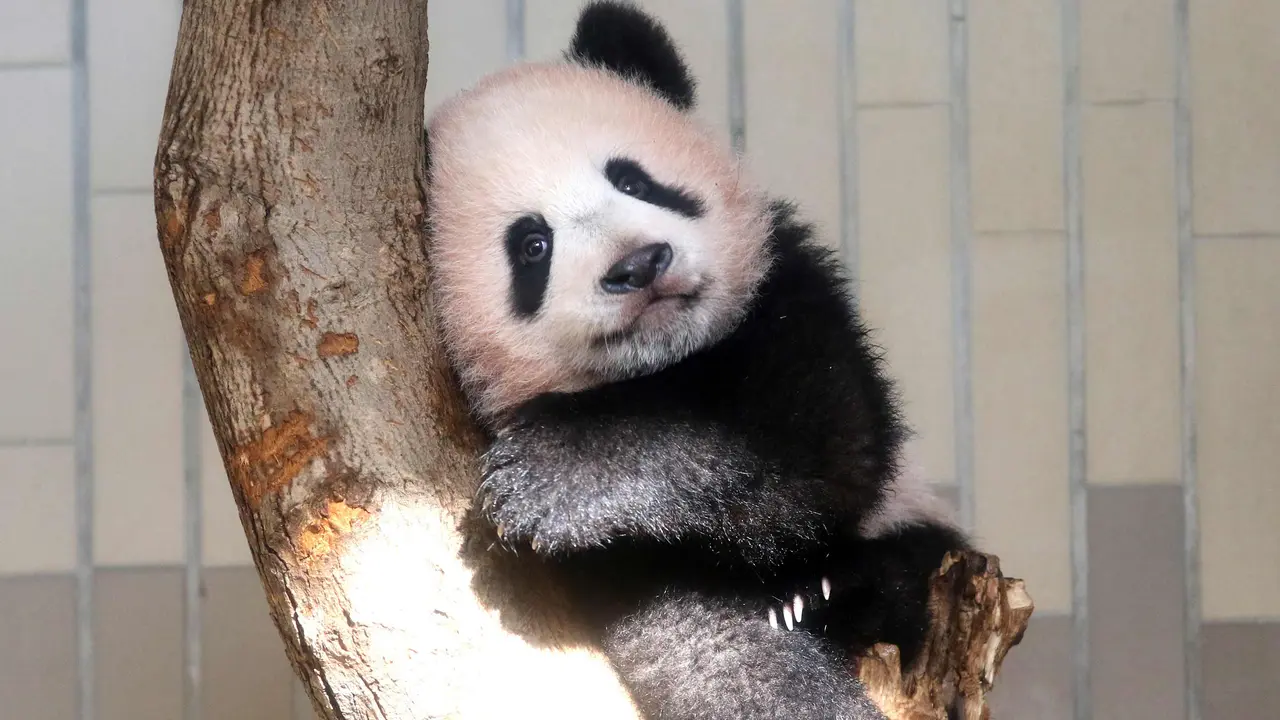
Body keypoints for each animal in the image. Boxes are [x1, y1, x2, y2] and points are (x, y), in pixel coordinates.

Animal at [424, 2, 972, 718]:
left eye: (634, 180)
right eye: (533, 245)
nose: (639, 265)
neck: (667, 364)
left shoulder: (791, 297)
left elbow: (815, 440)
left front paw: (546, 477)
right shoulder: (623, 566)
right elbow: (708, 646)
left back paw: (841, 591)